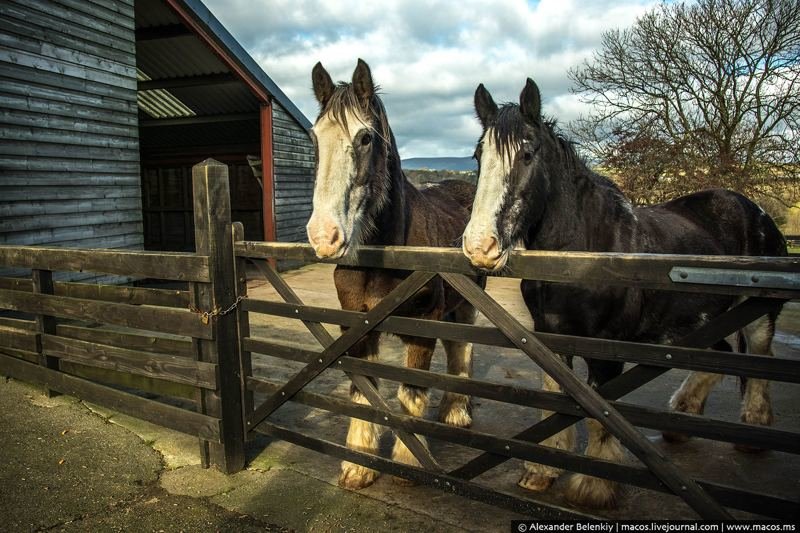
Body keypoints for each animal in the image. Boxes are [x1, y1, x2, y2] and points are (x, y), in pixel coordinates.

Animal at [306, 60, 482, 488]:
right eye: (315, 138)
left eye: (366, 137)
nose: (324, 236)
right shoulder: (357, 325)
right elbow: (363, 389)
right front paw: (358, 463)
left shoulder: (422, 328)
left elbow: (412, 392)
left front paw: (408, 460)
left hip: (466, 304)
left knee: (462, 347)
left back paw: (457, 411)